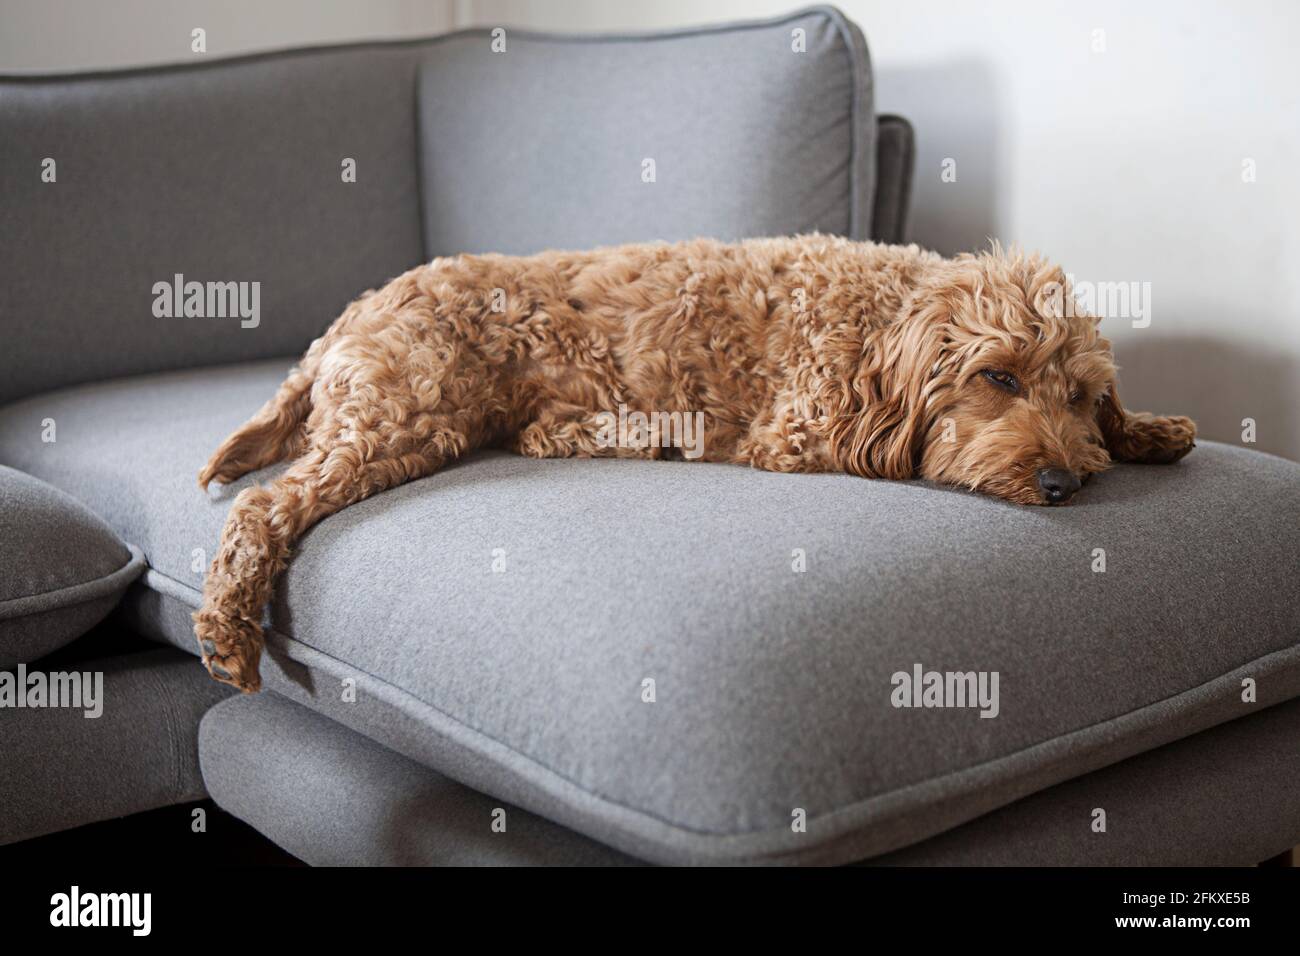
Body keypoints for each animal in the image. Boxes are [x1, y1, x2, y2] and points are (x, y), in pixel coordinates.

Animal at [192, 235, 1196, 691]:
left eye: (1079, 395)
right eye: (998, 376)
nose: (1061, 483)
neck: (885, 321)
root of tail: (346, 319)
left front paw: (1149, 429)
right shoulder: (801, 432)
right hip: (406, 416)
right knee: (262, 509)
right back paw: (228, 629)